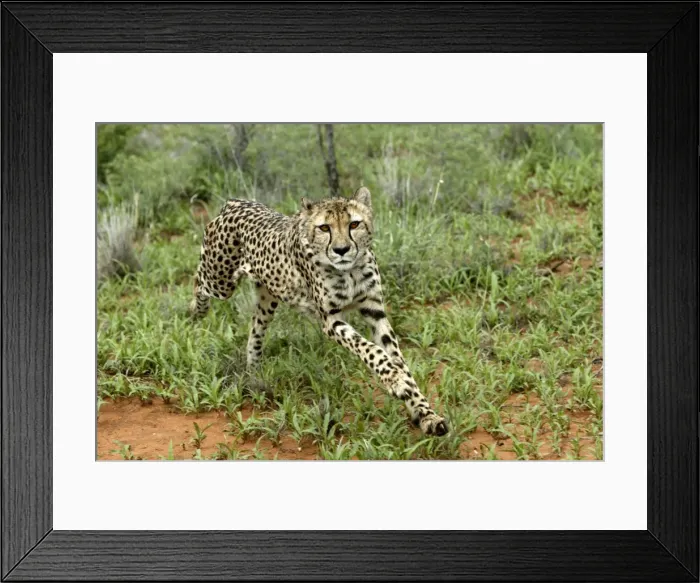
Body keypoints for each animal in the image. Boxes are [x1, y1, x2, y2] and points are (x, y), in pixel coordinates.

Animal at [190, 187, 448, 436]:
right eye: (325, 227)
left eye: (354, 224)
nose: (342, 249)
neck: (350, 271)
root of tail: (237, 201)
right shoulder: (330, 319)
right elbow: (372, 350)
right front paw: (397, 382)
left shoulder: (375, 312)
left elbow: (397, 358)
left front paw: (425, 413)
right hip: (220, 281)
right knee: (198, 280)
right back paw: (195, 311)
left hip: (268, 297)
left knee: (255, 331)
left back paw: (254, 371)